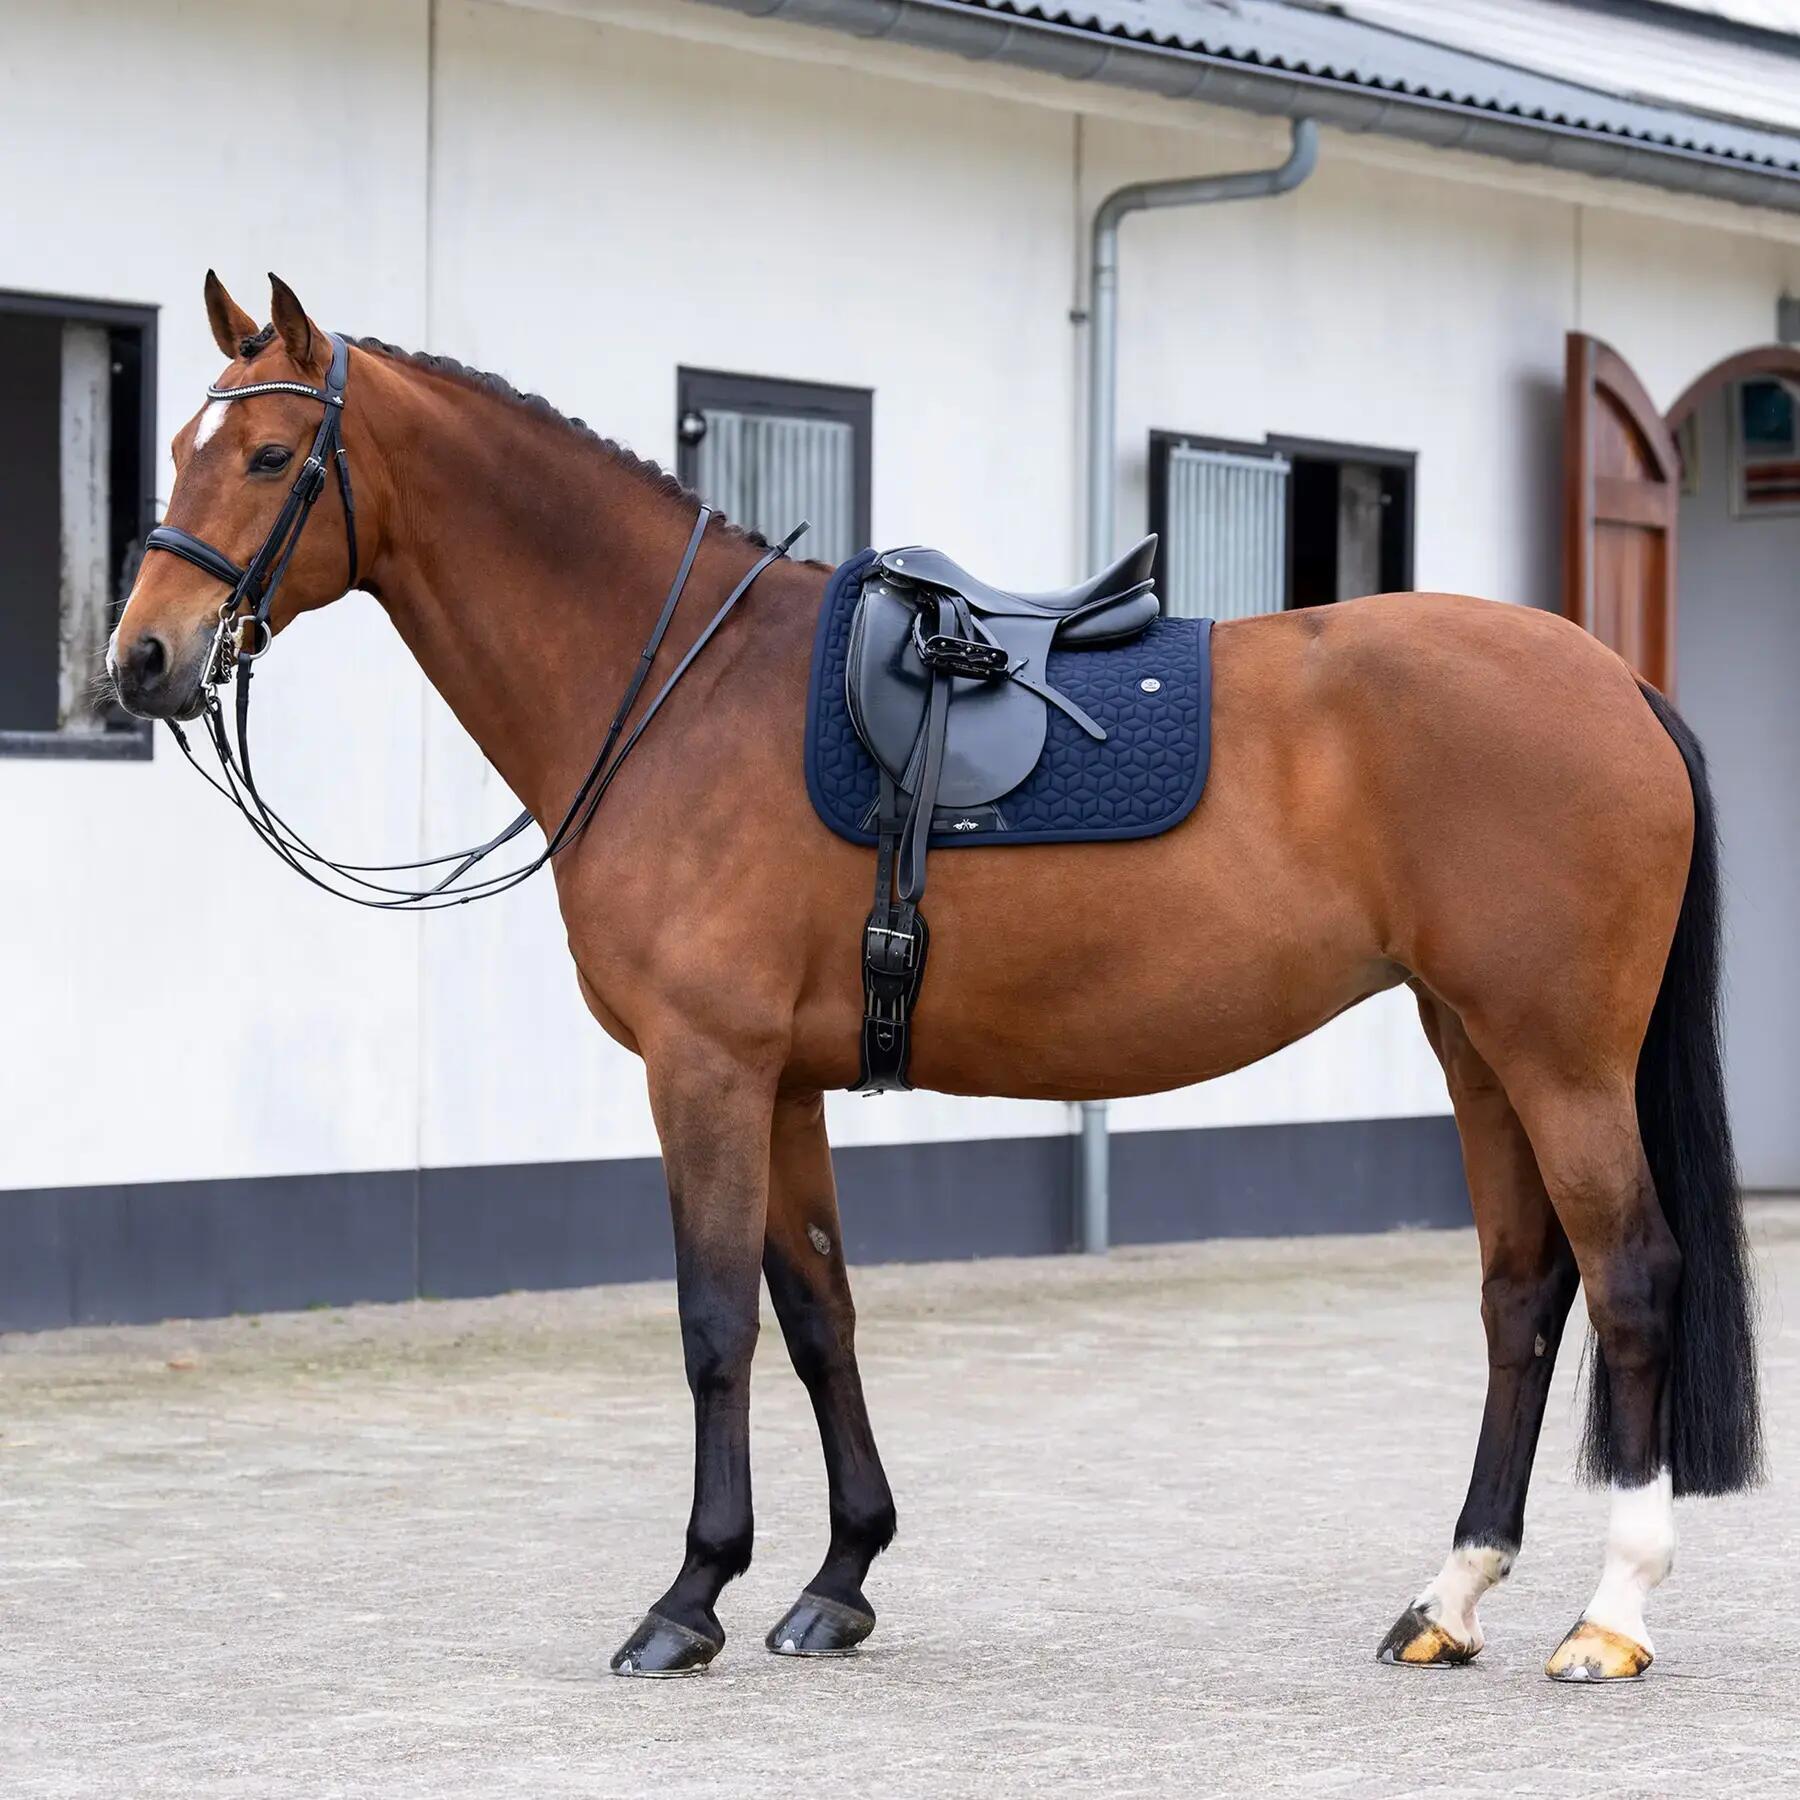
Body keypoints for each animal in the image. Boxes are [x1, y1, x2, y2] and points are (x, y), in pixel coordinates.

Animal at [109, 273, 1760, 1682]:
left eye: (268, 454)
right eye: (182, 444)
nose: (140, 662)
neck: (682, 694)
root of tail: (1615, 682)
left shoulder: (703, 1070)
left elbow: (714, 1325)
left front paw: (686, 1600)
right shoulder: (778, 1085)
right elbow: (817, 1313)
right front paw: (836, 1583)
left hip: (1559, 1054)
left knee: (1629, 1276)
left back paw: (1609, 1617)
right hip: (1473, 1043)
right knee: (1521, 1292)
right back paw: (1451, 1596)